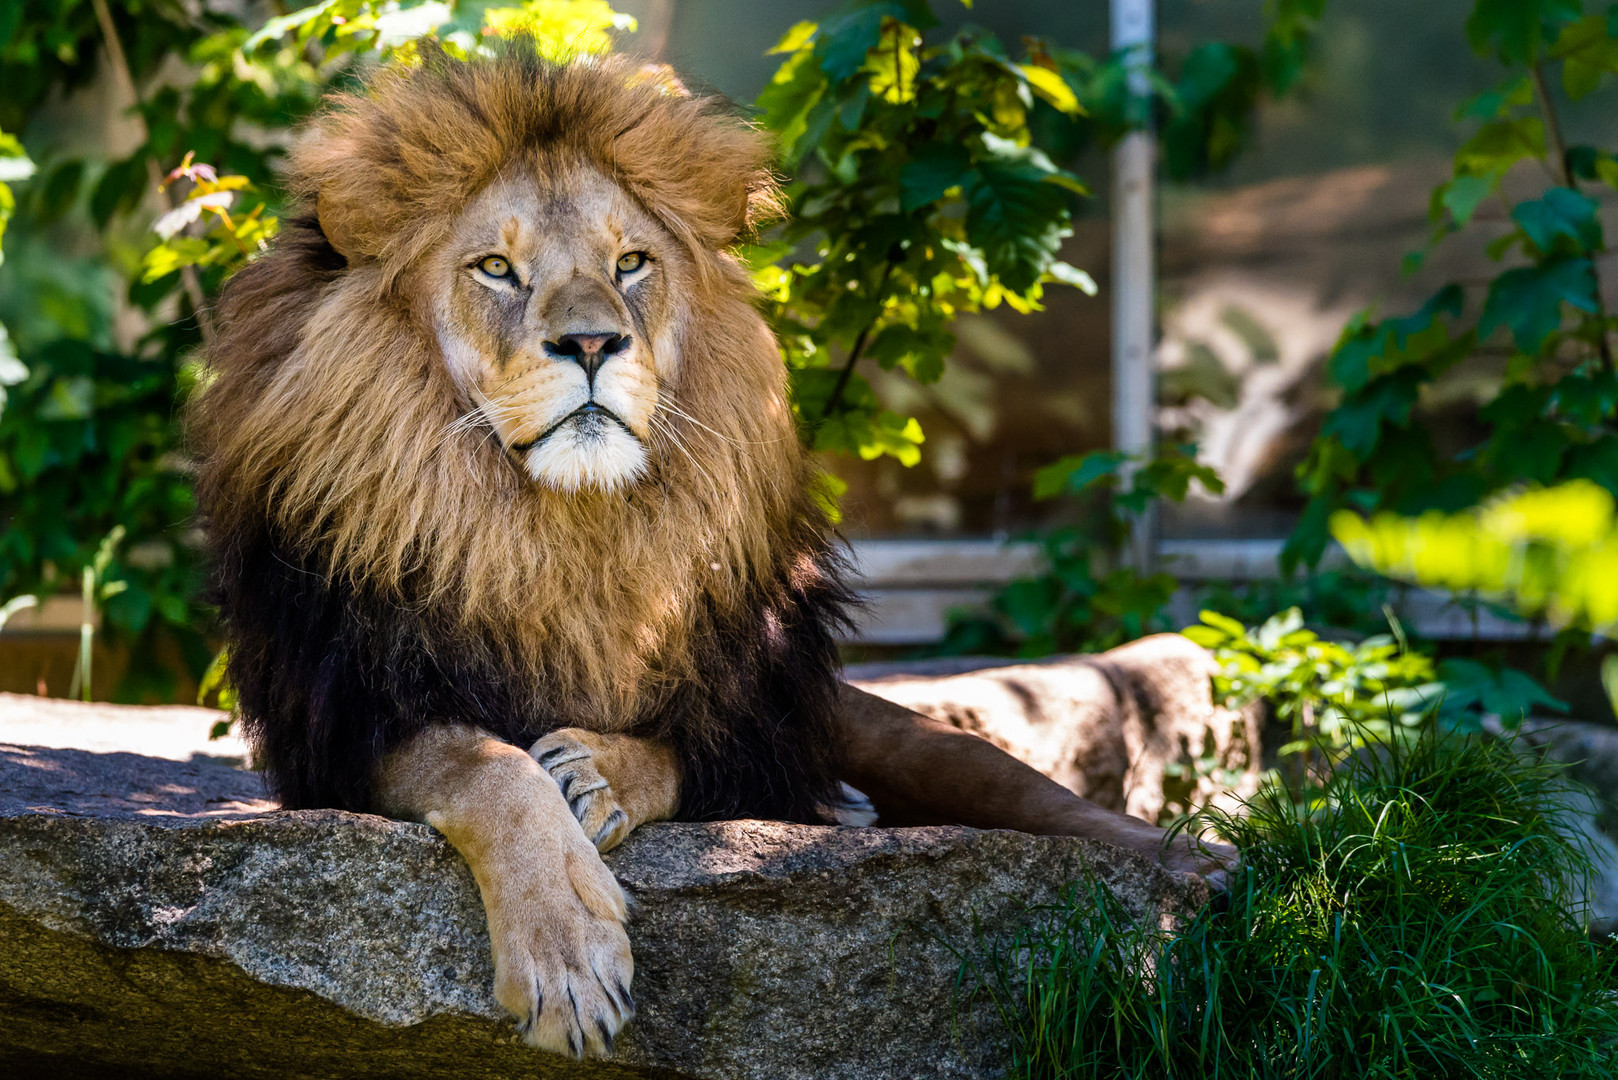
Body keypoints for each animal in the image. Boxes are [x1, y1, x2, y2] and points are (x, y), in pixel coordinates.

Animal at [189, 46, 1223, 1062]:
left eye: (630, 262)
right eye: (495, 268)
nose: (593, 341)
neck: (558, 533)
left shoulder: (763, 725)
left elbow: (688, 755)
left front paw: (597, 776)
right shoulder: (340, 728)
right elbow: (487, 767)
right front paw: (566, 953)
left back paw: (1207, 875)